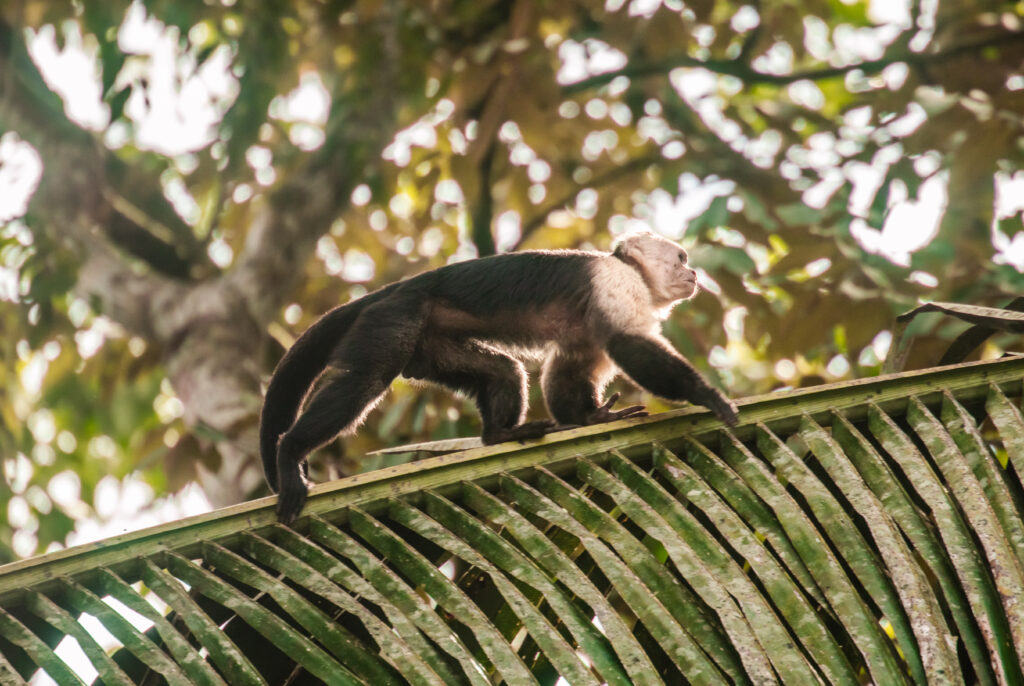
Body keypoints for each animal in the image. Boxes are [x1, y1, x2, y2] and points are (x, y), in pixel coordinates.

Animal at [260, 231, 739, 523]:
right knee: (367, 379)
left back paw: (500, 434)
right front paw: (706, 394)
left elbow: (568, 370)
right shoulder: (616, 283)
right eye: (680, 259)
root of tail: (389, 290)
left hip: (429, 342)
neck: (629, 269)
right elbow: (628, 344)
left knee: (503, 371)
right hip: (394, 317)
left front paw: (590, 420)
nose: (693, 273)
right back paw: (290, 451)